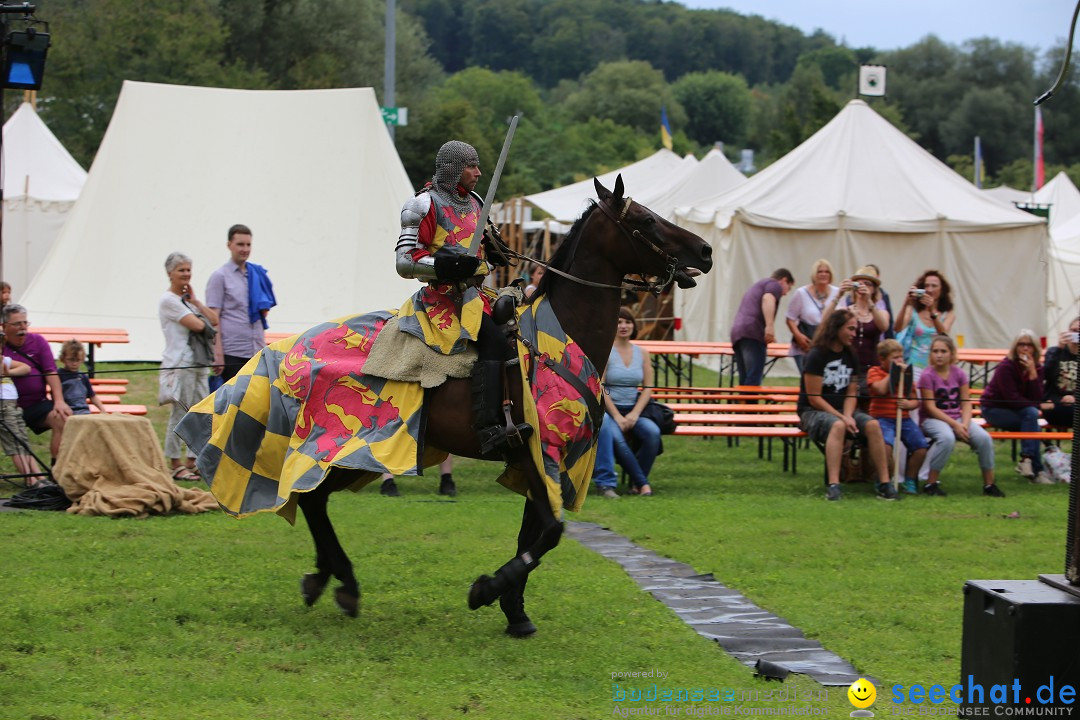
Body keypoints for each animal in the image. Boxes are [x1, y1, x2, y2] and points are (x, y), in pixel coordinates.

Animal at [293, 174, 708, 634]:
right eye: (646, 221)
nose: (705, 251)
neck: (562, 337)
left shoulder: (545, 463)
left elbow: (534, 533)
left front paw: (515, 610)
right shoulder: (538, 453)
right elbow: (551, 532)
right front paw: (487, 591)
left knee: (314, 499)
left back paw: (327, 578)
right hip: (344, 444)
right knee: (311, 497)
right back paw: (342, 582)